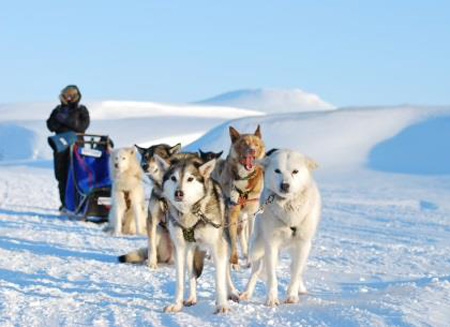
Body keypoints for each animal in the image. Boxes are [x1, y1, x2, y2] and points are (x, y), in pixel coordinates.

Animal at [155, 156, 239, 316]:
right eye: (173, 178)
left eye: (190, 179)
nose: (179, 193)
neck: (191, 213)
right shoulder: (179, 248)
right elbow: (180, 280)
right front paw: (177, 304)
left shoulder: (217, 247)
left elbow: (219, 279)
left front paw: (222, 305)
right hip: (190, 252)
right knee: (192, 274)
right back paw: (192, 298)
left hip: (226, 245)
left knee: (226, 271)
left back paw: (232, 292)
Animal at [217, 125, 266, 270]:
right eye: (244, 143)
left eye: (256, 144)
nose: (252, 150)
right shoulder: (232, 212)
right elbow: (233, 240)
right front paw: (234, 261)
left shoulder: (251, 214)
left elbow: (249, 238)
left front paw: (249, 258)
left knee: (241, 232)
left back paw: (245, 254)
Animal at [241, 149, 322, 308]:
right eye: (277, 170)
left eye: (295, 171)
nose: (285, 185)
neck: (288, 208)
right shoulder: (271, 245)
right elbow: (272, 277)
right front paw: (271, 299)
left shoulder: (303, 244)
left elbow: (296, 273)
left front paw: (292, 295)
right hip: (257, 247)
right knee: (255, 270)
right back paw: (246, 292)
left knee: (294, 267)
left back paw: (300, 288)